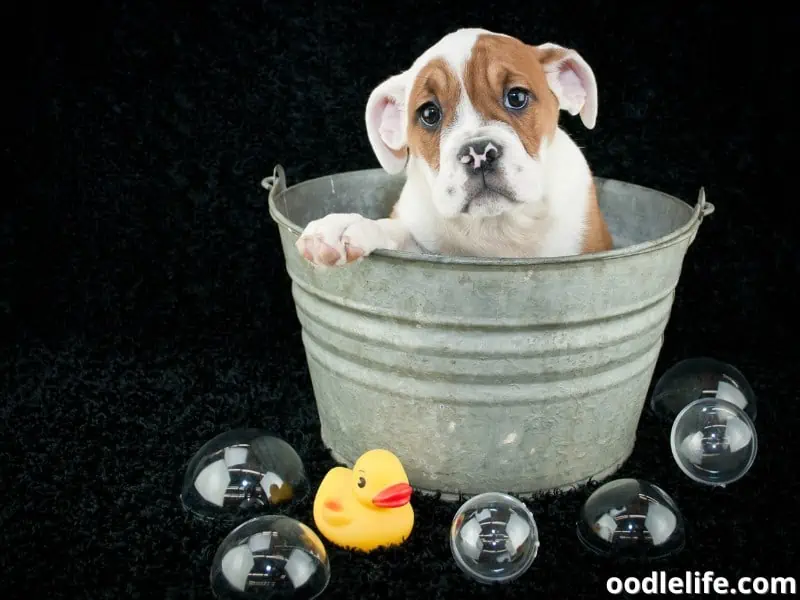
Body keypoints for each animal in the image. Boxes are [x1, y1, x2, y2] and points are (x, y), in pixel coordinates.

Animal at [294, 25, 612, 264]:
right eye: (429, 114)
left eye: (517, 97)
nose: (478, 153)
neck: (497, 225)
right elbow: (395, 232)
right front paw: (345, 225)